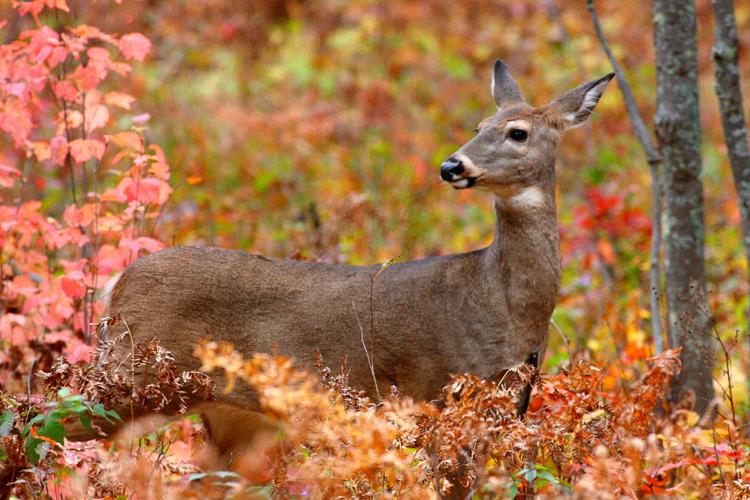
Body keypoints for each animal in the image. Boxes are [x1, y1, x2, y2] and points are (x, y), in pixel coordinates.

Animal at [69, 61, 614, 484]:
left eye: (517, 132)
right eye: (479, 124)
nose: (451, 166)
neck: (499, 302)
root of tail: (117, 286)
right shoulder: (440, 397)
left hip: (229, 417)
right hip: (131, 377)